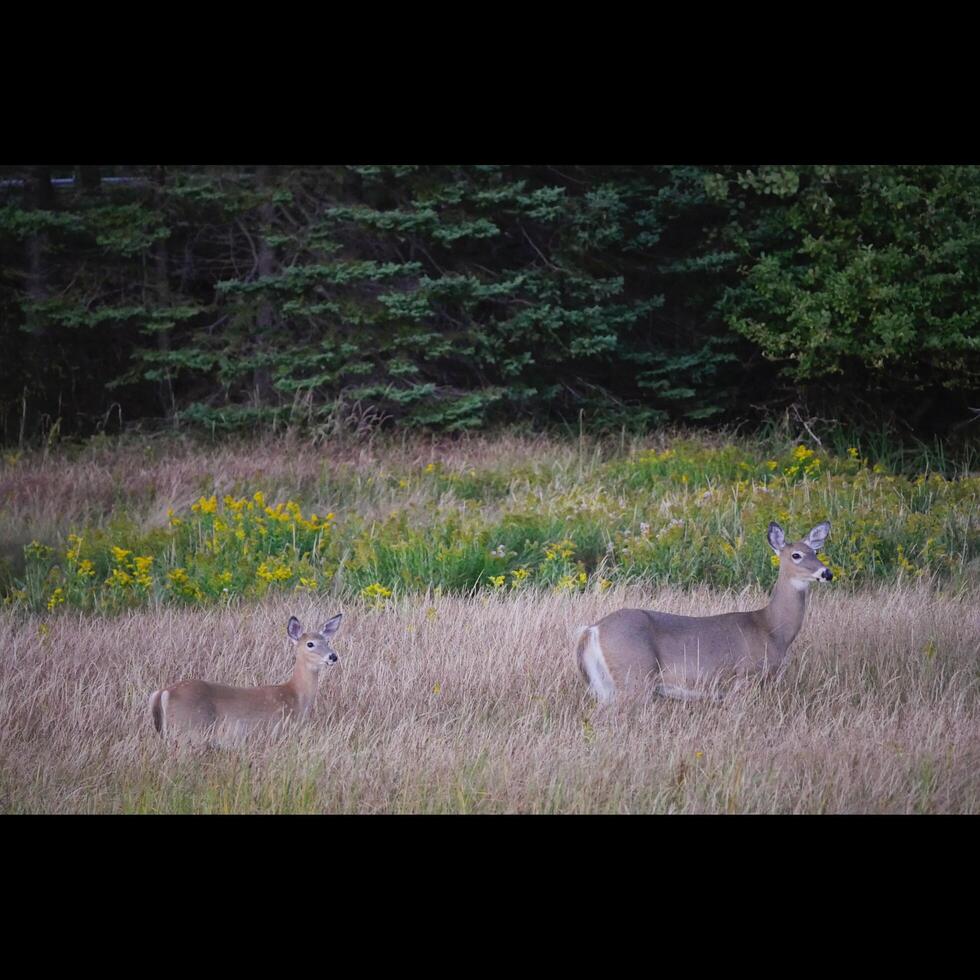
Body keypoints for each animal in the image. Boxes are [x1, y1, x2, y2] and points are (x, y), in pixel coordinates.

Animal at [147, 608, 342, 740]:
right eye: (310, 644)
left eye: (327, 641)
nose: (333, 656)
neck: (295, 696)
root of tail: (163, 692)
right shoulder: (277, 730)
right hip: (190, 728)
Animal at [576, 520, 836, 704]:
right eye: (796, 555)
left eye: (816, 552)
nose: (827, 573)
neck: (771, 629)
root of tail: (592, 630)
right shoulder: (744, 678)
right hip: (634, 675)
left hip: (605, 686)